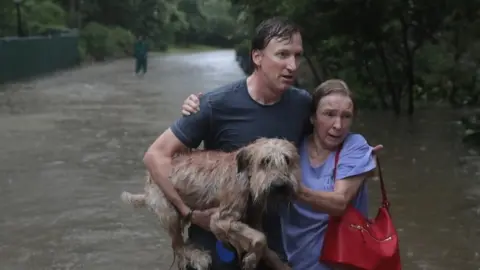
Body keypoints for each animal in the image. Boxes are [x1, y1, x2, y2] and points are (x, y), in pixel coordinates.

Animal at [121, 138, 300, 270]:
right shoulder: (221, 219)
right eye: (265, 161)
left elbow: (262, 239)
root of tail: (148, 183)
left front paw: (259, 257)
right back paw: (197, 257)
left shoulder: (254, 218)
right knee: (178, 246)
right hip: (169, 212)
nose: (279, 185)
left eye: (287, 160)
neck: (246, 178)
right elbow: (260, 238)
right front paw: (251, 259)